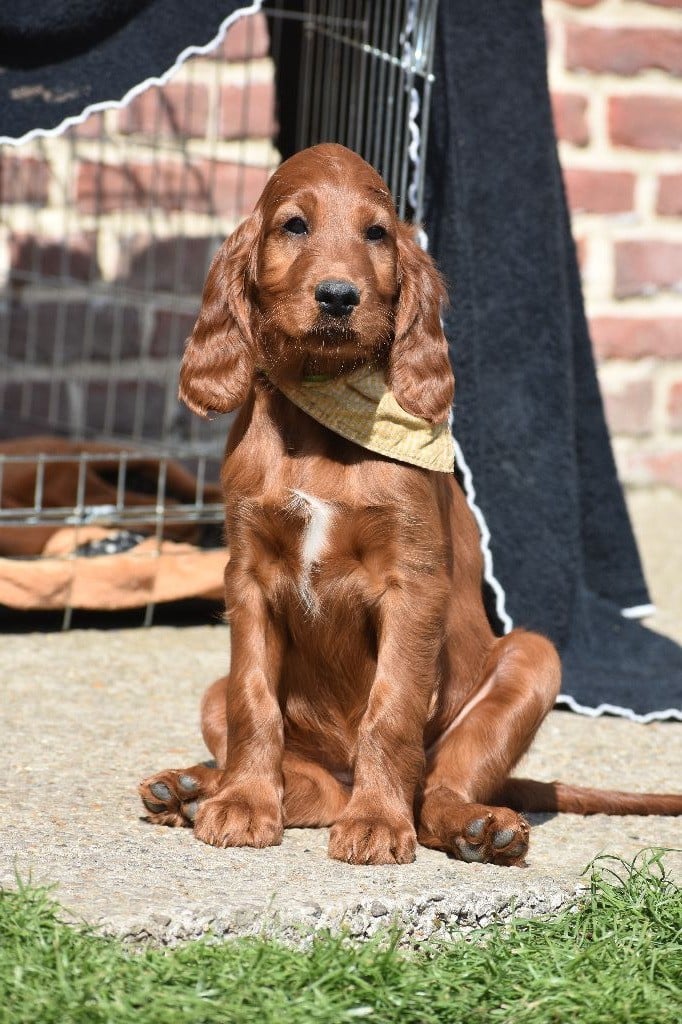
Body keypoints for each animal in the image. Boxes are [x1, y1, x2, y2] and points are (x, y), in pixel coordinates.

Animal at [139, 144, 681, 866]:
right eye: (293, 226)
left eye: (376, 234)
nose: (339, 295)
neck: (323, 413)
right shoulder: (247, 575)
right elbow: (254, 700)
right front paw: (244, 803)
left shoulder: (413, 582)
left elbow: (391, 706)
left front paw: (376, 822)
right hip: (214, 695)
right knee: (308, 783)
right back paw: (198, 789)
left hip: (533, 660)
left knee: (439, 791)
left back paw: (478, 827)